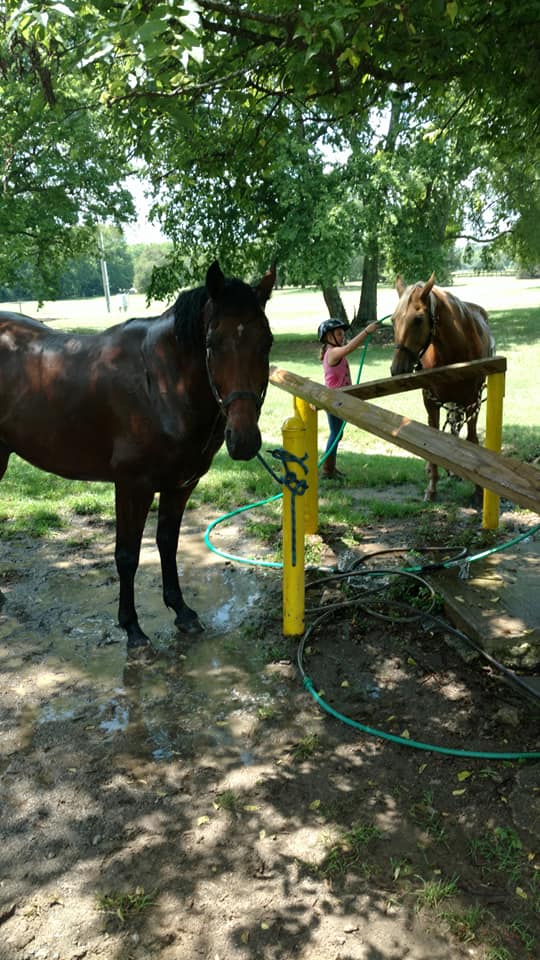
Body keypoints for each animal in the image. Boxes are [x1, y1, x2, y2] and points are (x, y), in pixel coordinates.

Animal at [0, 260, 276, 652]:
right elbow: (127, 555)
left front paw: (181, 611)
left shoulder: (180, 486)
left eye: (267, 342)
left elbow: (167, 543)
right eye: (212, 343)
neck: (160, 383)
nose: (244, 440)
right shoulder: (133, 486)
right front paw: (131, 627)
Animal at [390, 272, 496, 502]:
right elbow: (433, 441)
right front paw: (431, 487)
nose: (397, 369)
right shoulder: (431, 403)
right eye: (393, 320)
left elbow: (472, 440)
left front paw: (478, 490)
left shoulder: (473, 403)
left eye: (418, 319)